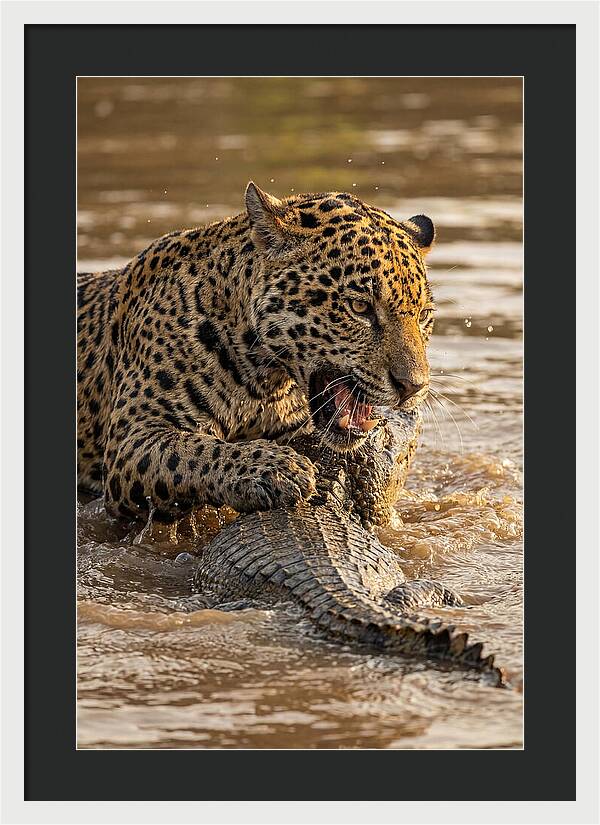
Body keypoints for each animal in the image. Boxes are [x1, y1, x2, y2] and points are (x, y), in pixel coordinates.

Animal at [77, 182, 436, 521]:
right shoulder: (133, 438)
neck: (264, 380)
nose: (413, 387)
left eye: (423, 315)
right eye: (360, 307)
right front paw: (275, 469)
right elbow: (193, 450)